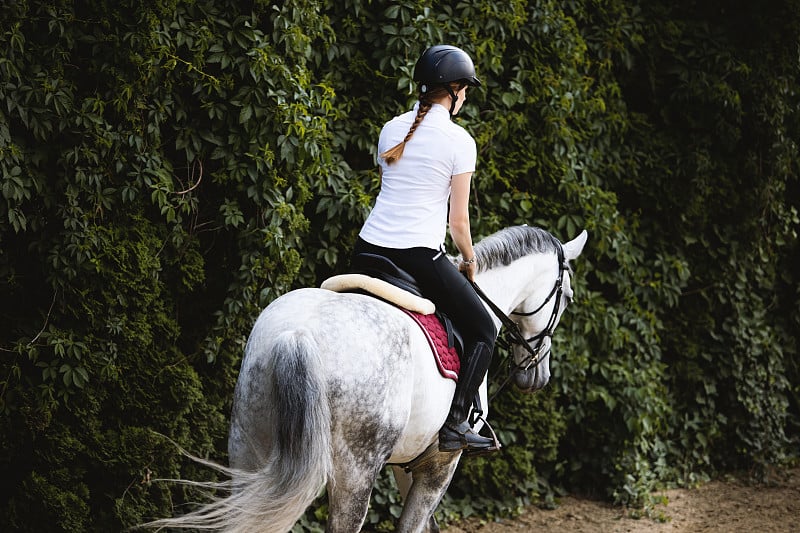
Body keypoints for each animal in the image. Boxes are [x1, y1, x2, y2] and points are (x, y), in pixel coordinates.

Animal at [147, 225, 588, 532]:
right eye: (567, 297)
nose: (537, 374)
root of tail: (298, 336)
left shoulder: (408, 462)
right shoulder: (442, 462)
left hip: (250, 453)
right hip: (355, 473)